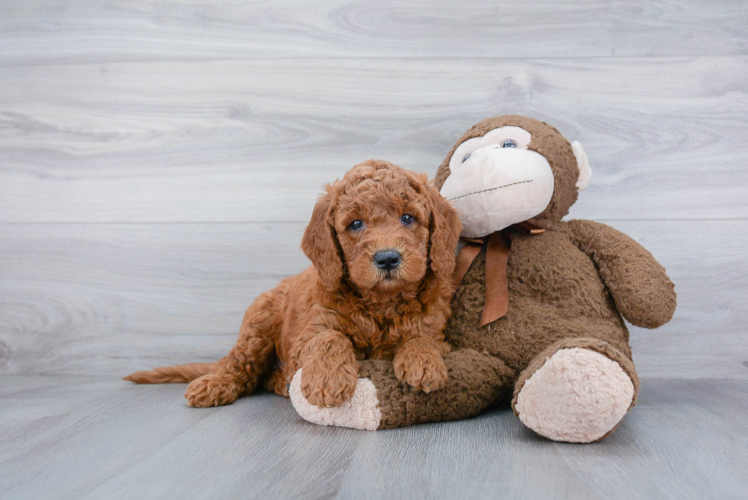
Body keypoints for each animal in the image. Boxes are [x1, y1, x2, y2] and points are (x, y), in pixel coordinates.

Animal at [124, 158, 462, 408]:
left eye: (407, 218)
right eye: (356, 224)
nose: (388, 258)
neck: (382, 302)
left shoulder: (437, 329)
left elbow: (421, 337)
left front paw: (423, 363)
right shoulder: (307, 333)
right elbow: (328, 338)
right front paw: (327, 380)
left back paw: (279, 382)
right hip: (258, 323)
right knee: (241, 365)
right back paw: (215, 384)